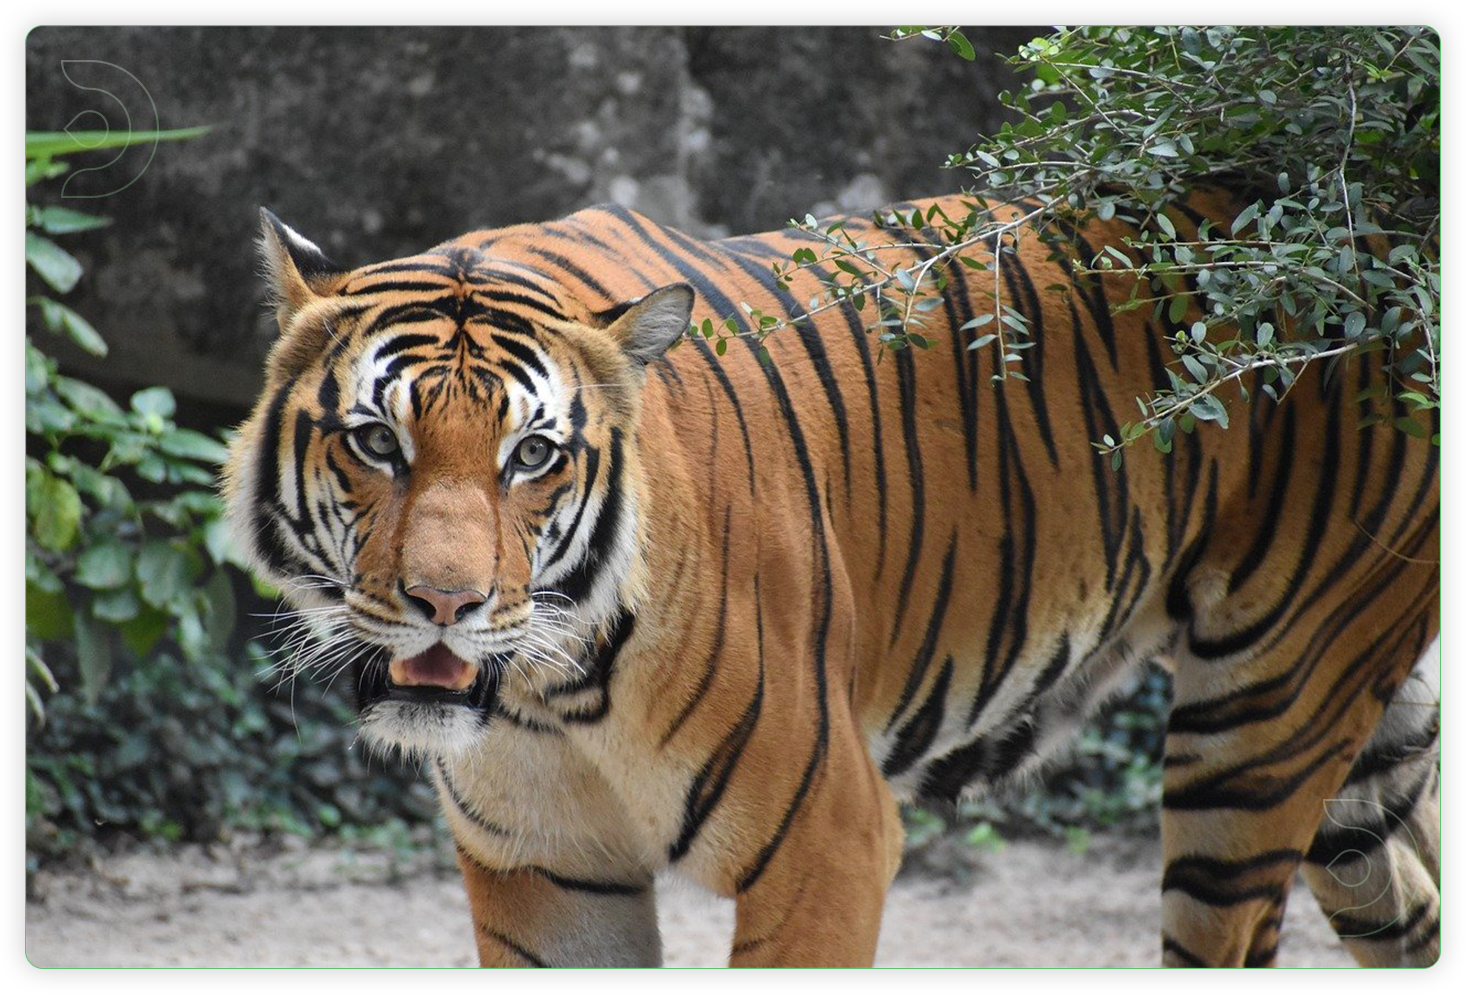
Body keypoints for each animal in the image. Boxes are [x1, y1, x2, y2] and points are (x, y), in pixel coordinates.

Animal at [222, 185, 1440, 968]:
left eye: (532, 456)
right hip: (1354, 763)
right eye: (377, 442)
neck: (550, 694)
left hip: (1257, 735)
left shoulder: (829, 842)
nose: (446, 605)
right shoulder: (546, 869)